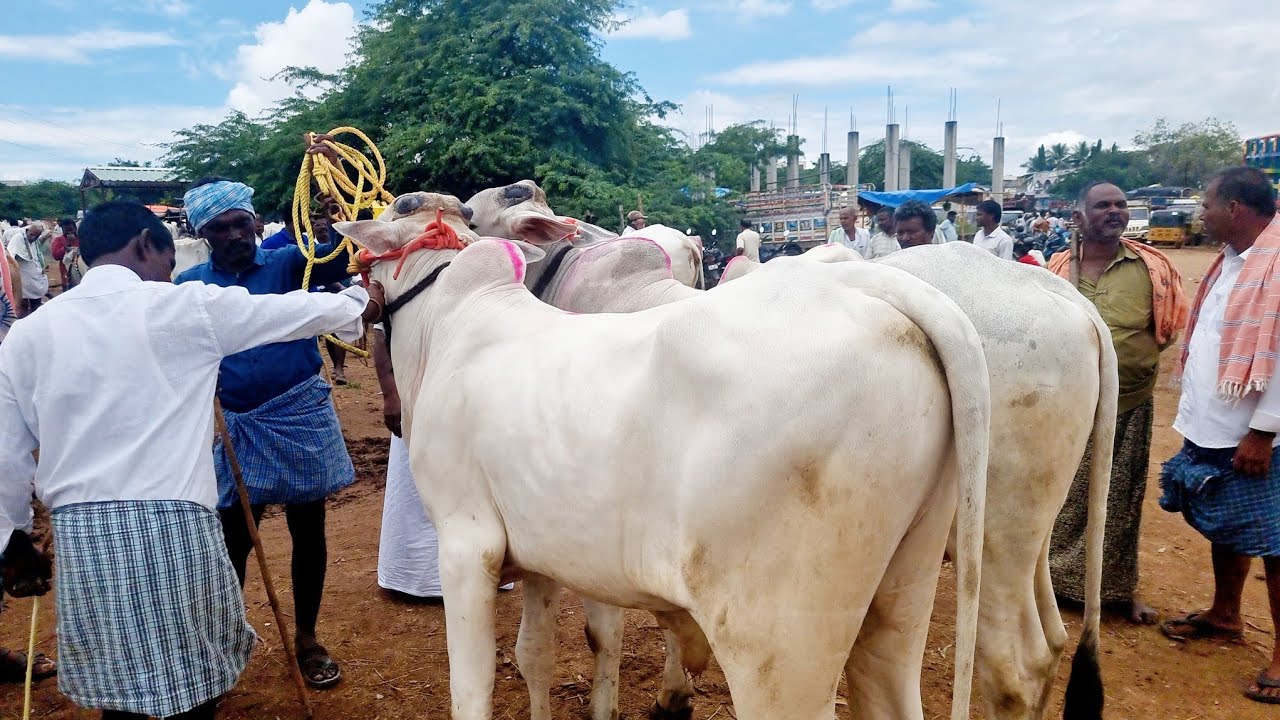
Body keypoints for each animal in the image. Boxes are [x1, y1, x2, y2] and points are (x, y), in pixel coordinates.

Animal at [337, 192, 990, 720]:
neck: (450, 322)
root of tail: (866, 289)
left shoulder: (465, 545)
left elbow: (471, 691)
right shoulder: (539, 555)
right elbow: (534, 656)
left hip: (778, 644)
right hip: (904, 589)